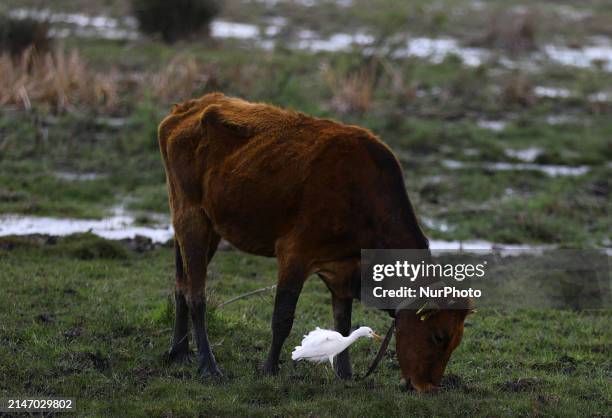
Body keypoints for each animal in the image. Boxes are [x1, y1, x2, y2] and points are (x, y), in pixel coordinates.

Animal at [159, 92, 474, 392]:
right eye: (439, 336)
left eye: (456, 341)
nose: (426, 387)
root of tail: (188, 107)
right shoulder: (294, 253)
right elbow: (283, 317)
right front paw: (269, 369)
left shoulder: (345, 267)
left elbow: (343, 322)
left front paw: (345, 374)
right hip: (190, 214)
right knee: (196, 295)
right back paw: (207, 366)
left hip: (205, 224)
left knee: (180, 284)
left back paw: (179, 352)